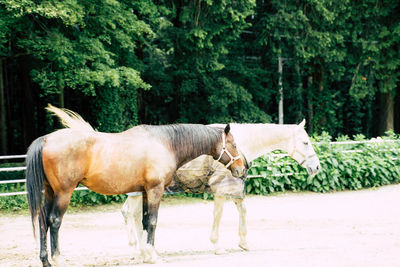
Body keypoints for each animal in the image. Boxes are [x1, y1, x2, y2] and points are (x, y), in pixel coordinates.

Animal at [25, 104, 244, 266]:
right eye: (233, 144)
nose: (242, 169)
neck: (165, 144)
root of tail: (46, 139)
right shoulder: (155, 191)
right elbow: (153, 221)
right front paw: (154, 255)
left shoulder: (145, 192)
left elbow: (145, 221)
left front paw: (147, 254)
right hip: (64, 193)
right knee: (54, 221)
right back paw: (57, 259)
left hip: (50, 192)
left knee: (43, 221)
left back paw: (45, 260)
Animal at [120, 121, 320, 258]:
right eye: (305, 142)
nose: (317, 167)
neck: (239, 147)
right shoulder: (221, 189)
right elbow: (218, 215)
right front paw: (217, 246)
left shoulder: (235, 188)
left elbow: (243, 211)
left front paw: (244, 242)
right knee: (133, 215)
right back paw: (140, 249)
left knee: (129, 213)